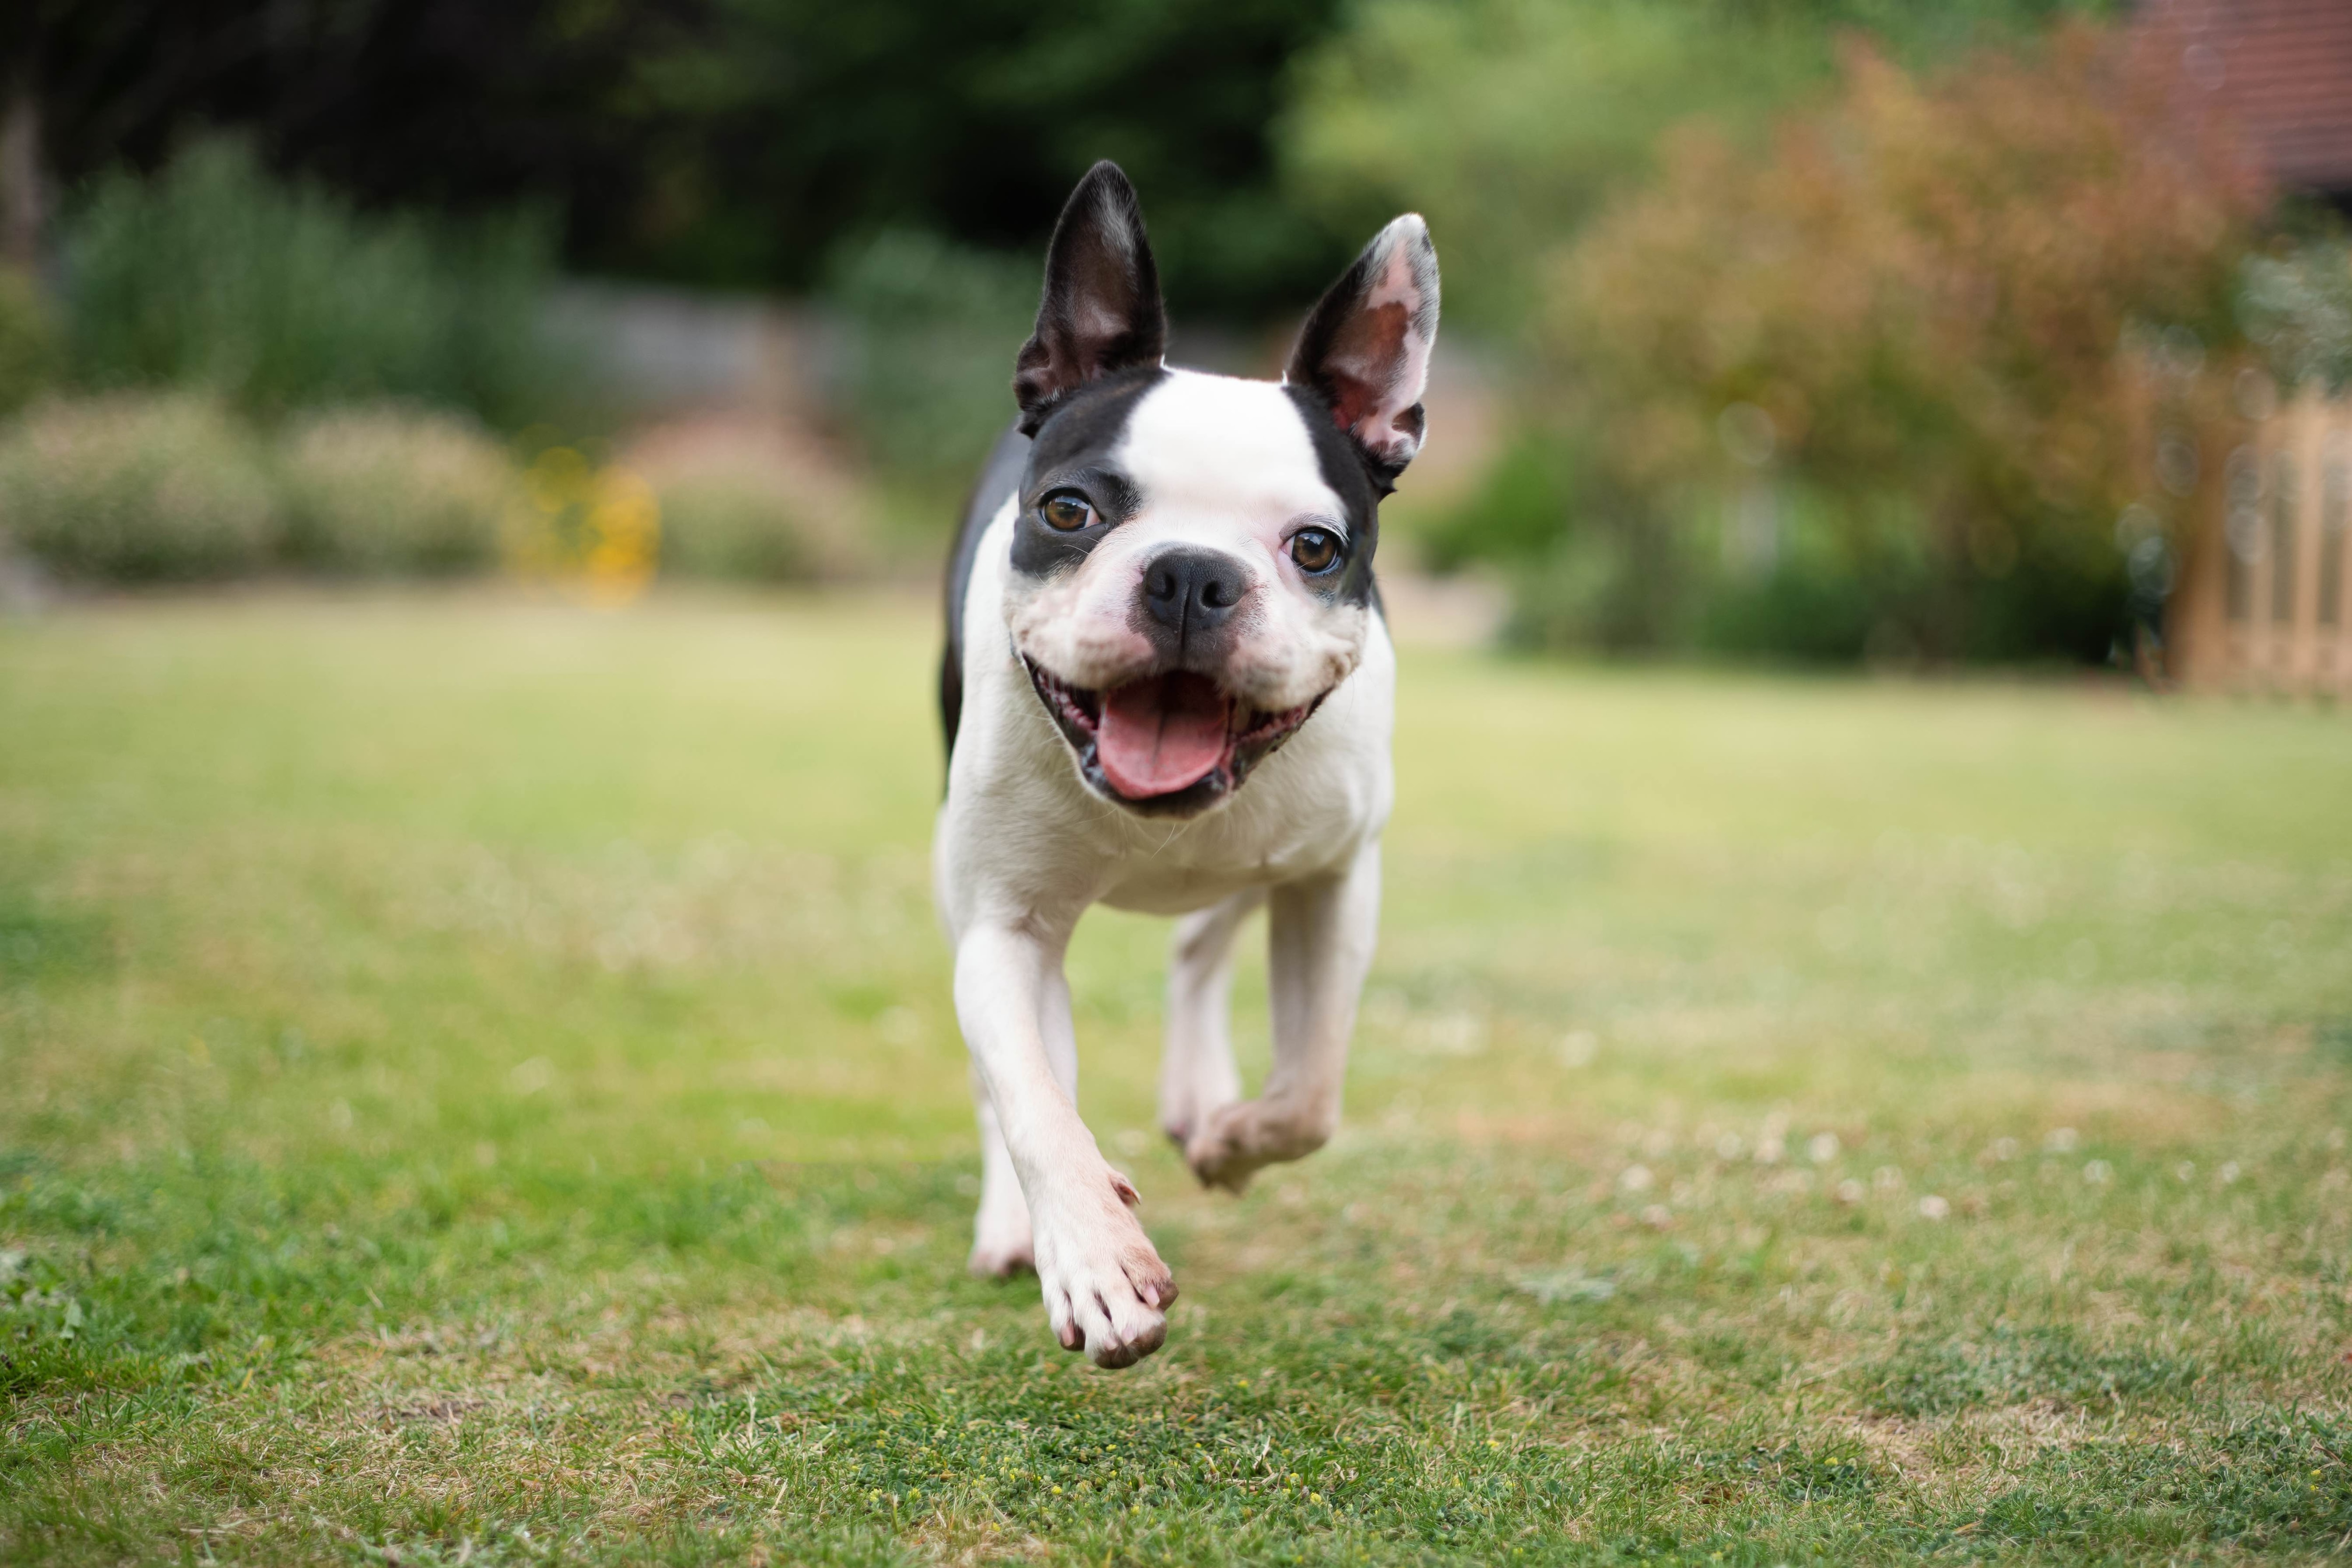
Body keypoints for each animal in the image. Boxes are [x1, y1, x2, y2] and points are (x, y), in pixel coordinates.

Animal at [936, 156, 1430, 1363]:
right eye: (1069, 510)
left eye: (1317, 547)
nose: (1191, 574)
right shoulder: (1001, 925)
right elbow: (1031, 1095)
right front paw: (1094, 1259)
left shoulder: (1332, 876)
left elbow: (1310, 1091)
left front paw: (1232, 1140)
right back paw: (1014, 1223)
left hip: (1263, 865)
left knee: (1200, 945)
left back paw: (1200, 1100)